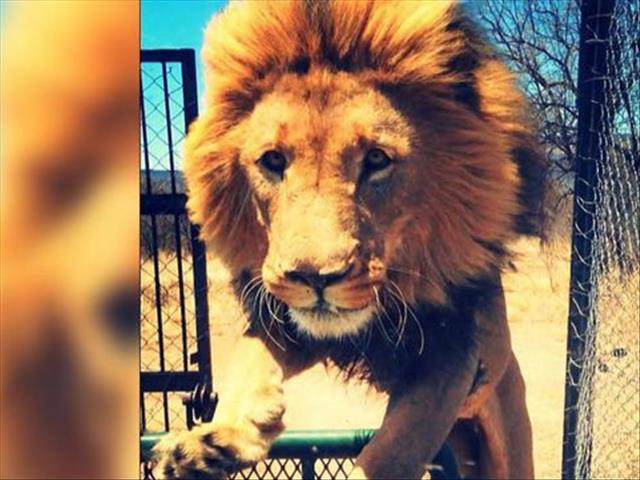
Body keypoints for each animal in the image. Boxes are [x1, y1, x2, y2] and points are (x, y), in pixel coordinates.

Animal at [154, 1, 546, 478]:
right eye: (273, 160)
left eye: (376, 158)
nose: (315, 278)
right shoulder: (288, 321)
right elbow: (249, 356)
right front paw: (213, 442)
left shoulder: (455, 353)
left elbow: (395, 447)